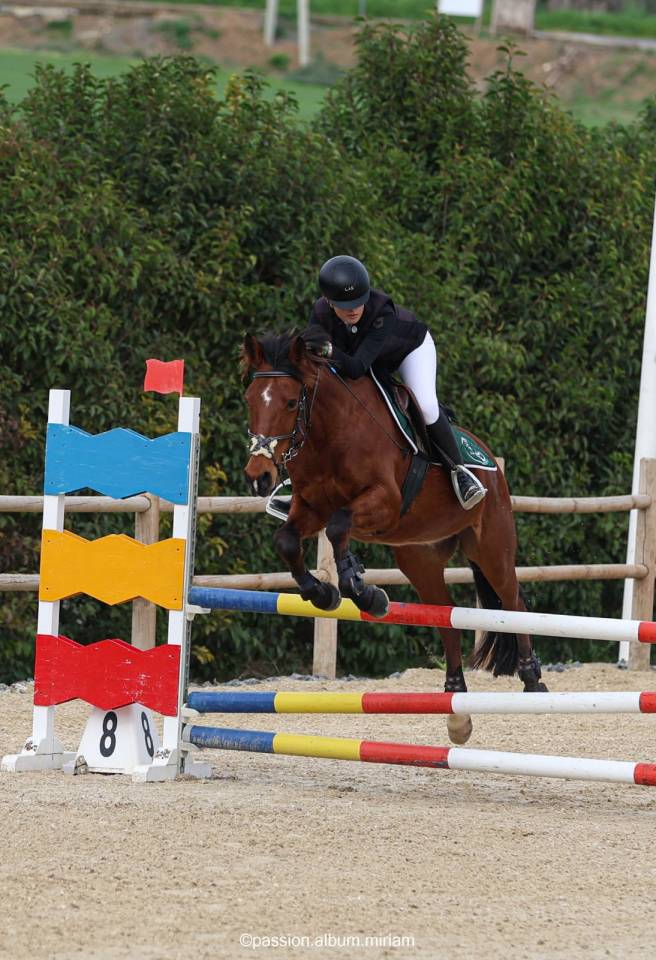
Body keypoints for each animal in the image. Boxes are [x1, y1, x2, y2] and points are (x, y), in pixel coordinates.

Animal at [241, 331, 547, 745]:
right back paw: (455, 706)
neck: (328, 434)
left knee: (513, 600)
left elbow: (339, 525)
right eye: (250, 399)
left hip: (491, 545)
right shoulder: (309, 507)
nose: (258, 476)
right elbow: (288, 541)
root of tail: (489, 461)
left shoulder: (384, 501)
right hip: (419, 557)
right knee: (446, 616)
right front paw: (325, 593)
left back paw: (532, 679)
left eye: (291, 401)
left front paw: (359, 587)